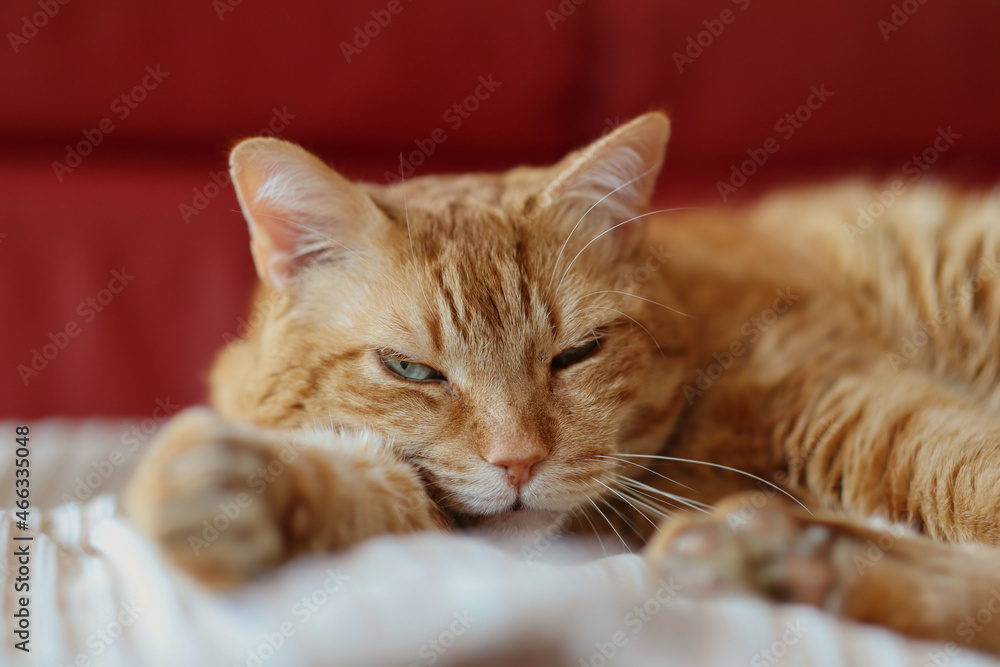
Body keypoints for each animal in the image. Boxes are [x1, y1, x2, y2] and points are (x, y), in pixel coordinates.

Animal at [123, 112, 1000, 656]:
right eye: (411, 369)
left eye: (576, 354)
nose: (519, 462)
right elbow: (367, 484)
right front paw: (237, 487)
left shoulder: (848, 406)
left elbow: (967, 477)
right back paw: (788, 555)